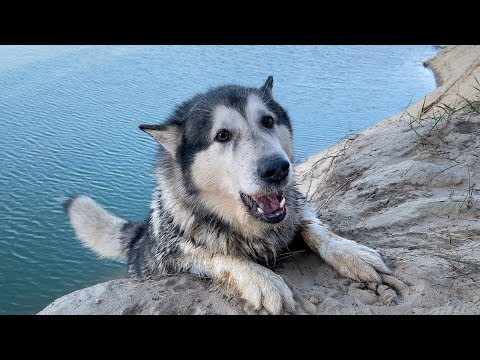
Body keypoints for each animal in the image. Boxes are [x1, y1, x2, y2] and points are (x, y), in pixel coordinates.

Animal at [66, 77, 390, 314]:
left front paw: (349, 252)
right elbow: (220, 254)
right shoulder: (173, 255)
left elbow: (313, 228)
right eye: (222, 135)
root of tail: (140, 236)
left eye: (268, 121)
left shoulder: (298, 208)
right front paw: (265, 281)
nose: (277, 169)